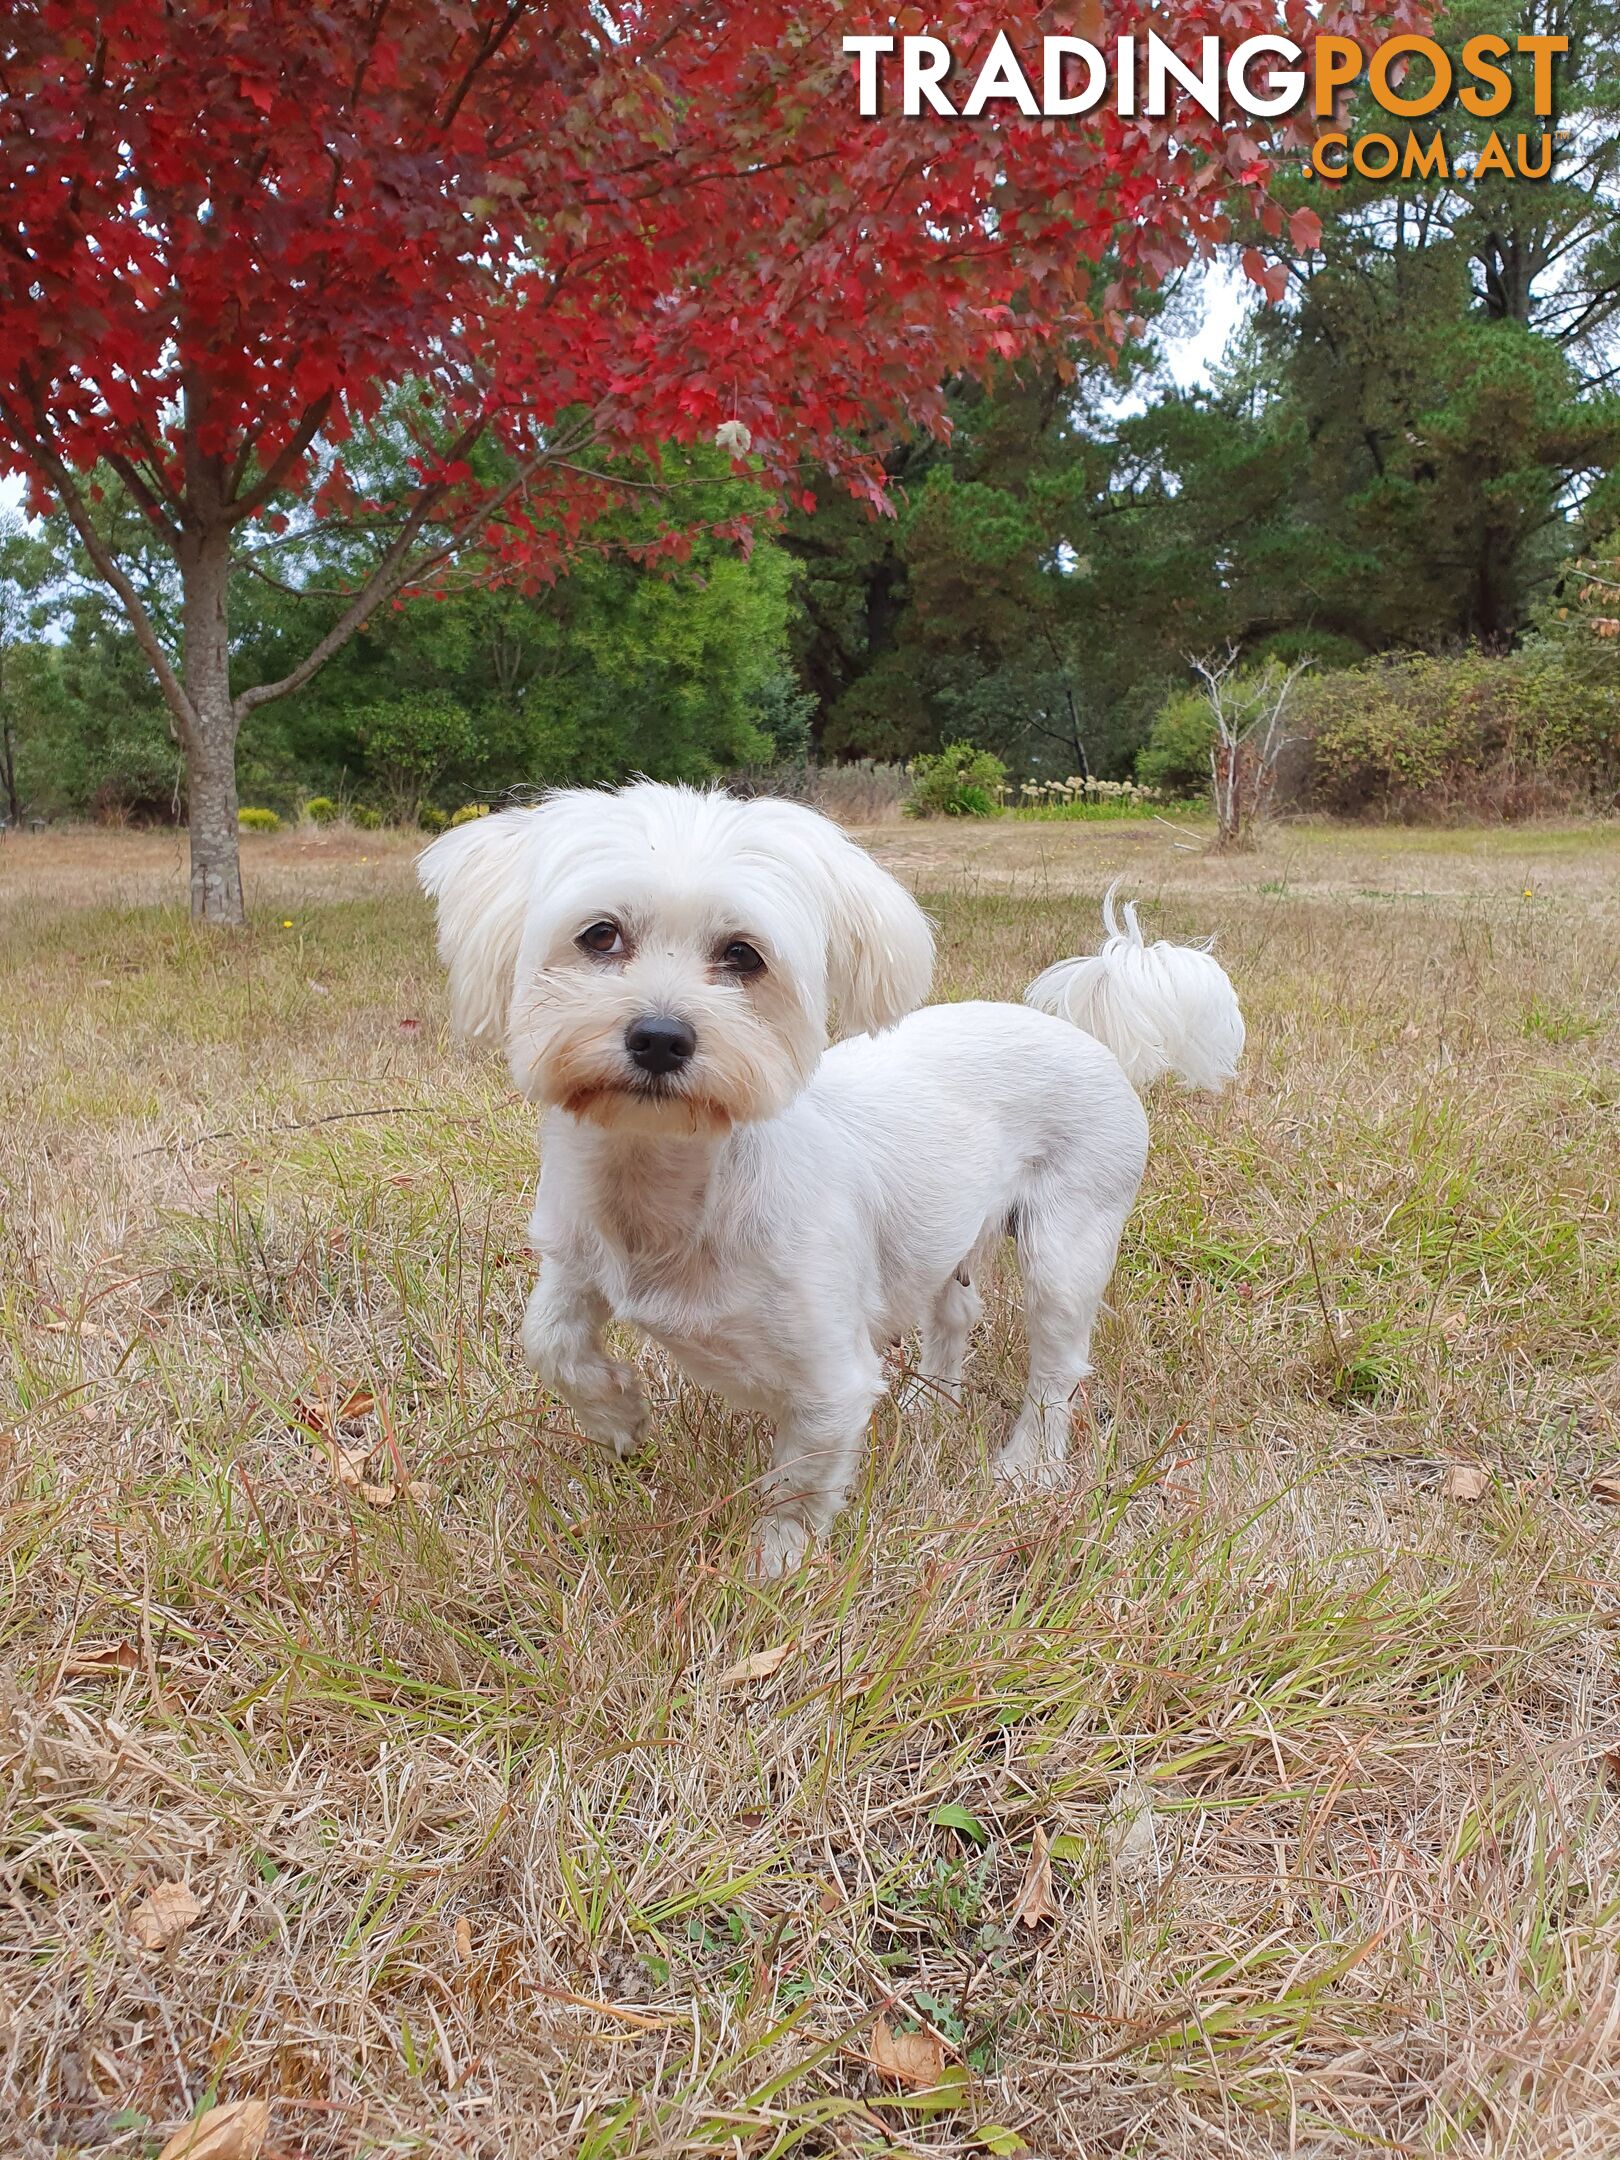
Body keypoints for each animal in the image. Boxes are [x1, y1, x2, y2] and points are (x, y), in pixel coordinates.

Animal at [419, 786, 1244, 1581]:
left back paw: (1028, 1465)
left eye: (743, 955)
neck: (666, 1186)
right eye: (600, 935)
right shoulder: (574, 1260)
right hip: (943, 1237)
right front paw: (619, 1417)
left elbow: (804, 1472)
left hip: (1065, 1248)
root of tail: (1093, 1037)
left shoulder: (831, 1376)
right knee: (956, 1316)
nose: (660, 1036)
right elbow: (550, 1341)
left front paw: (776, 1562)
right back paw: (931, 1403)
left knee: (1057, 1366)